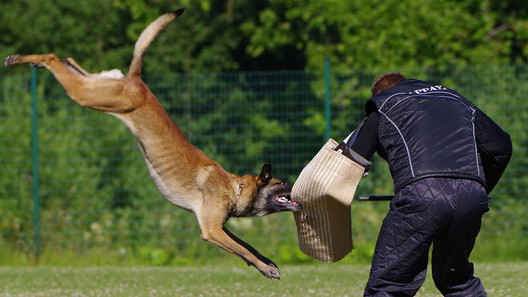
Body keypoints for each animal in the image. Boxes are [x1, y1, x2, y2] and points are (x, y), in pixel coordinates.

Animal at [3, 8, 302, 278]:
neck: (235, 187)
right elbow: (243, 249)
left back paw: (31, 61)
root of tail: (136, 80)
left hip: (99, 85)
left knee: (68, 59)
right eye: (284, 183)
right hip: (91, 96)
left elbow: (247, 245)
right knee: (54, 57)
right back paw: (20, 58)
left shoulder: (217, 225)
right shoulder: (211, 229)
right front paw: (265, 268)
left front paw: (267, 261)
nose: (298, 189)